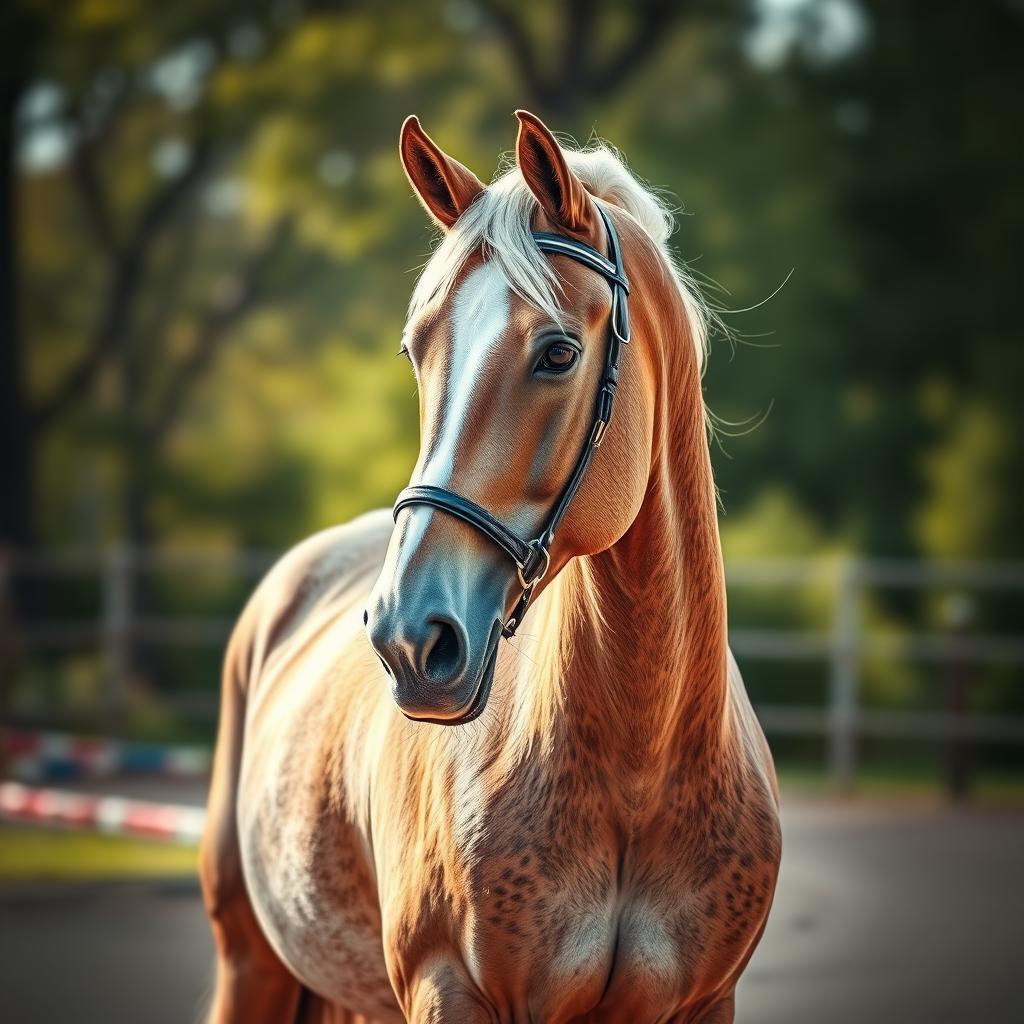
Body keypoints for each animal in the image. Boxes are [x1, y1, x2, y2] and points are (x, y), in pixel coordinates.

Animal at [200, 109, 781, 1024]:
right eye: (416, 348)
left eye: (557, 353)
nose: (409, 639)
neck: (638, 773)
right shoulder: (450, 989)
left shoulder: (706, 1003)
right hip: (248, 960)